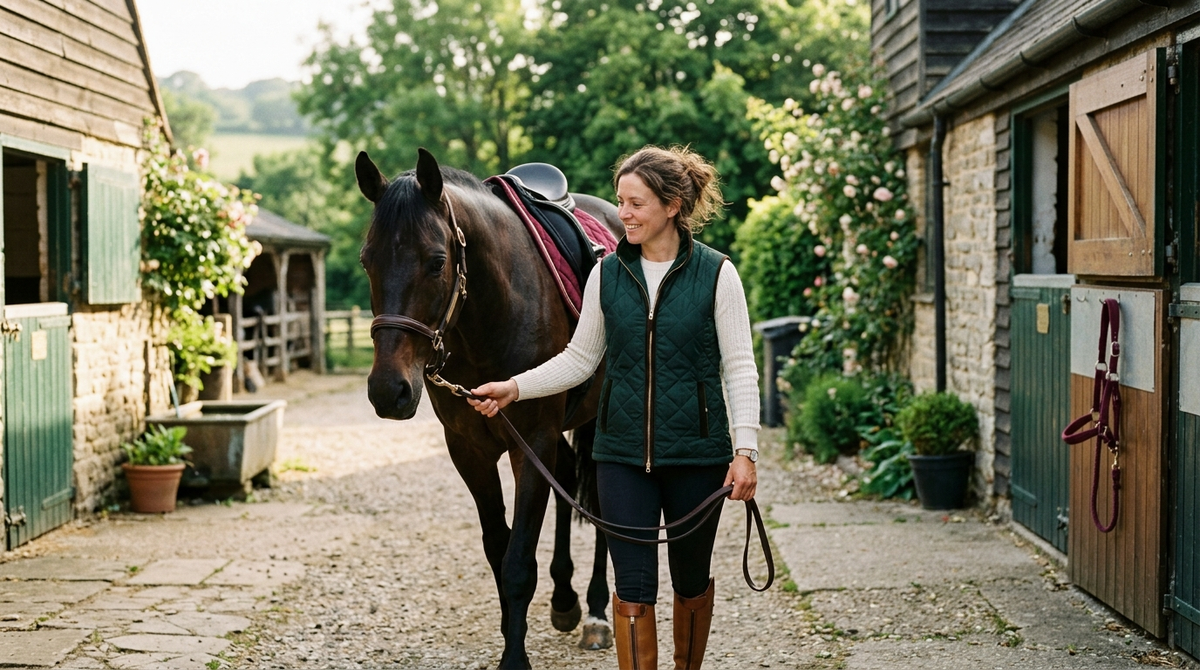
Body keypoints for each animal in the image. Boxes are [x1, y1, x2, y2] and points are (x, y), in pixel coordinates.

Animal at [356, 148, 619, 669]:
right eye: (366, 260)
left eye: (437, 262)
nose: (388, 390)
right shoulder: (470, 450)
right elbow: (499, 547)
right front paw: (510, 630)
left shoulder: (529, 444)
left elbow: (518, 561)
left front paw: (514, 657)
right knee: (567, 480)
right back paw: (565, 599)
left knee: (601, 501)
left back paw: (598, 611)